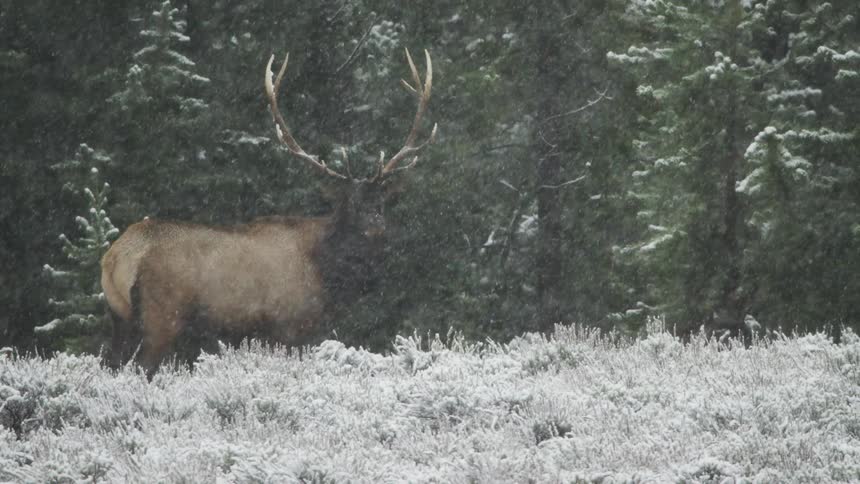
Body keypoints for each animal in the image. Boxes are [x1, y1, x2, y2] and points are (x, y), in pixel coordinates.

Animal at [101, 49, 435, 377]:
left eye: (381, 203)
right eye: (349, 204)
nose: (375, 228)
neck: (327, 274)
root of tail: (119, 256)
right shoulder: (289, 326)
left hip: (118, 317)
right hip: (162, 317)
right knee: (141, 368)